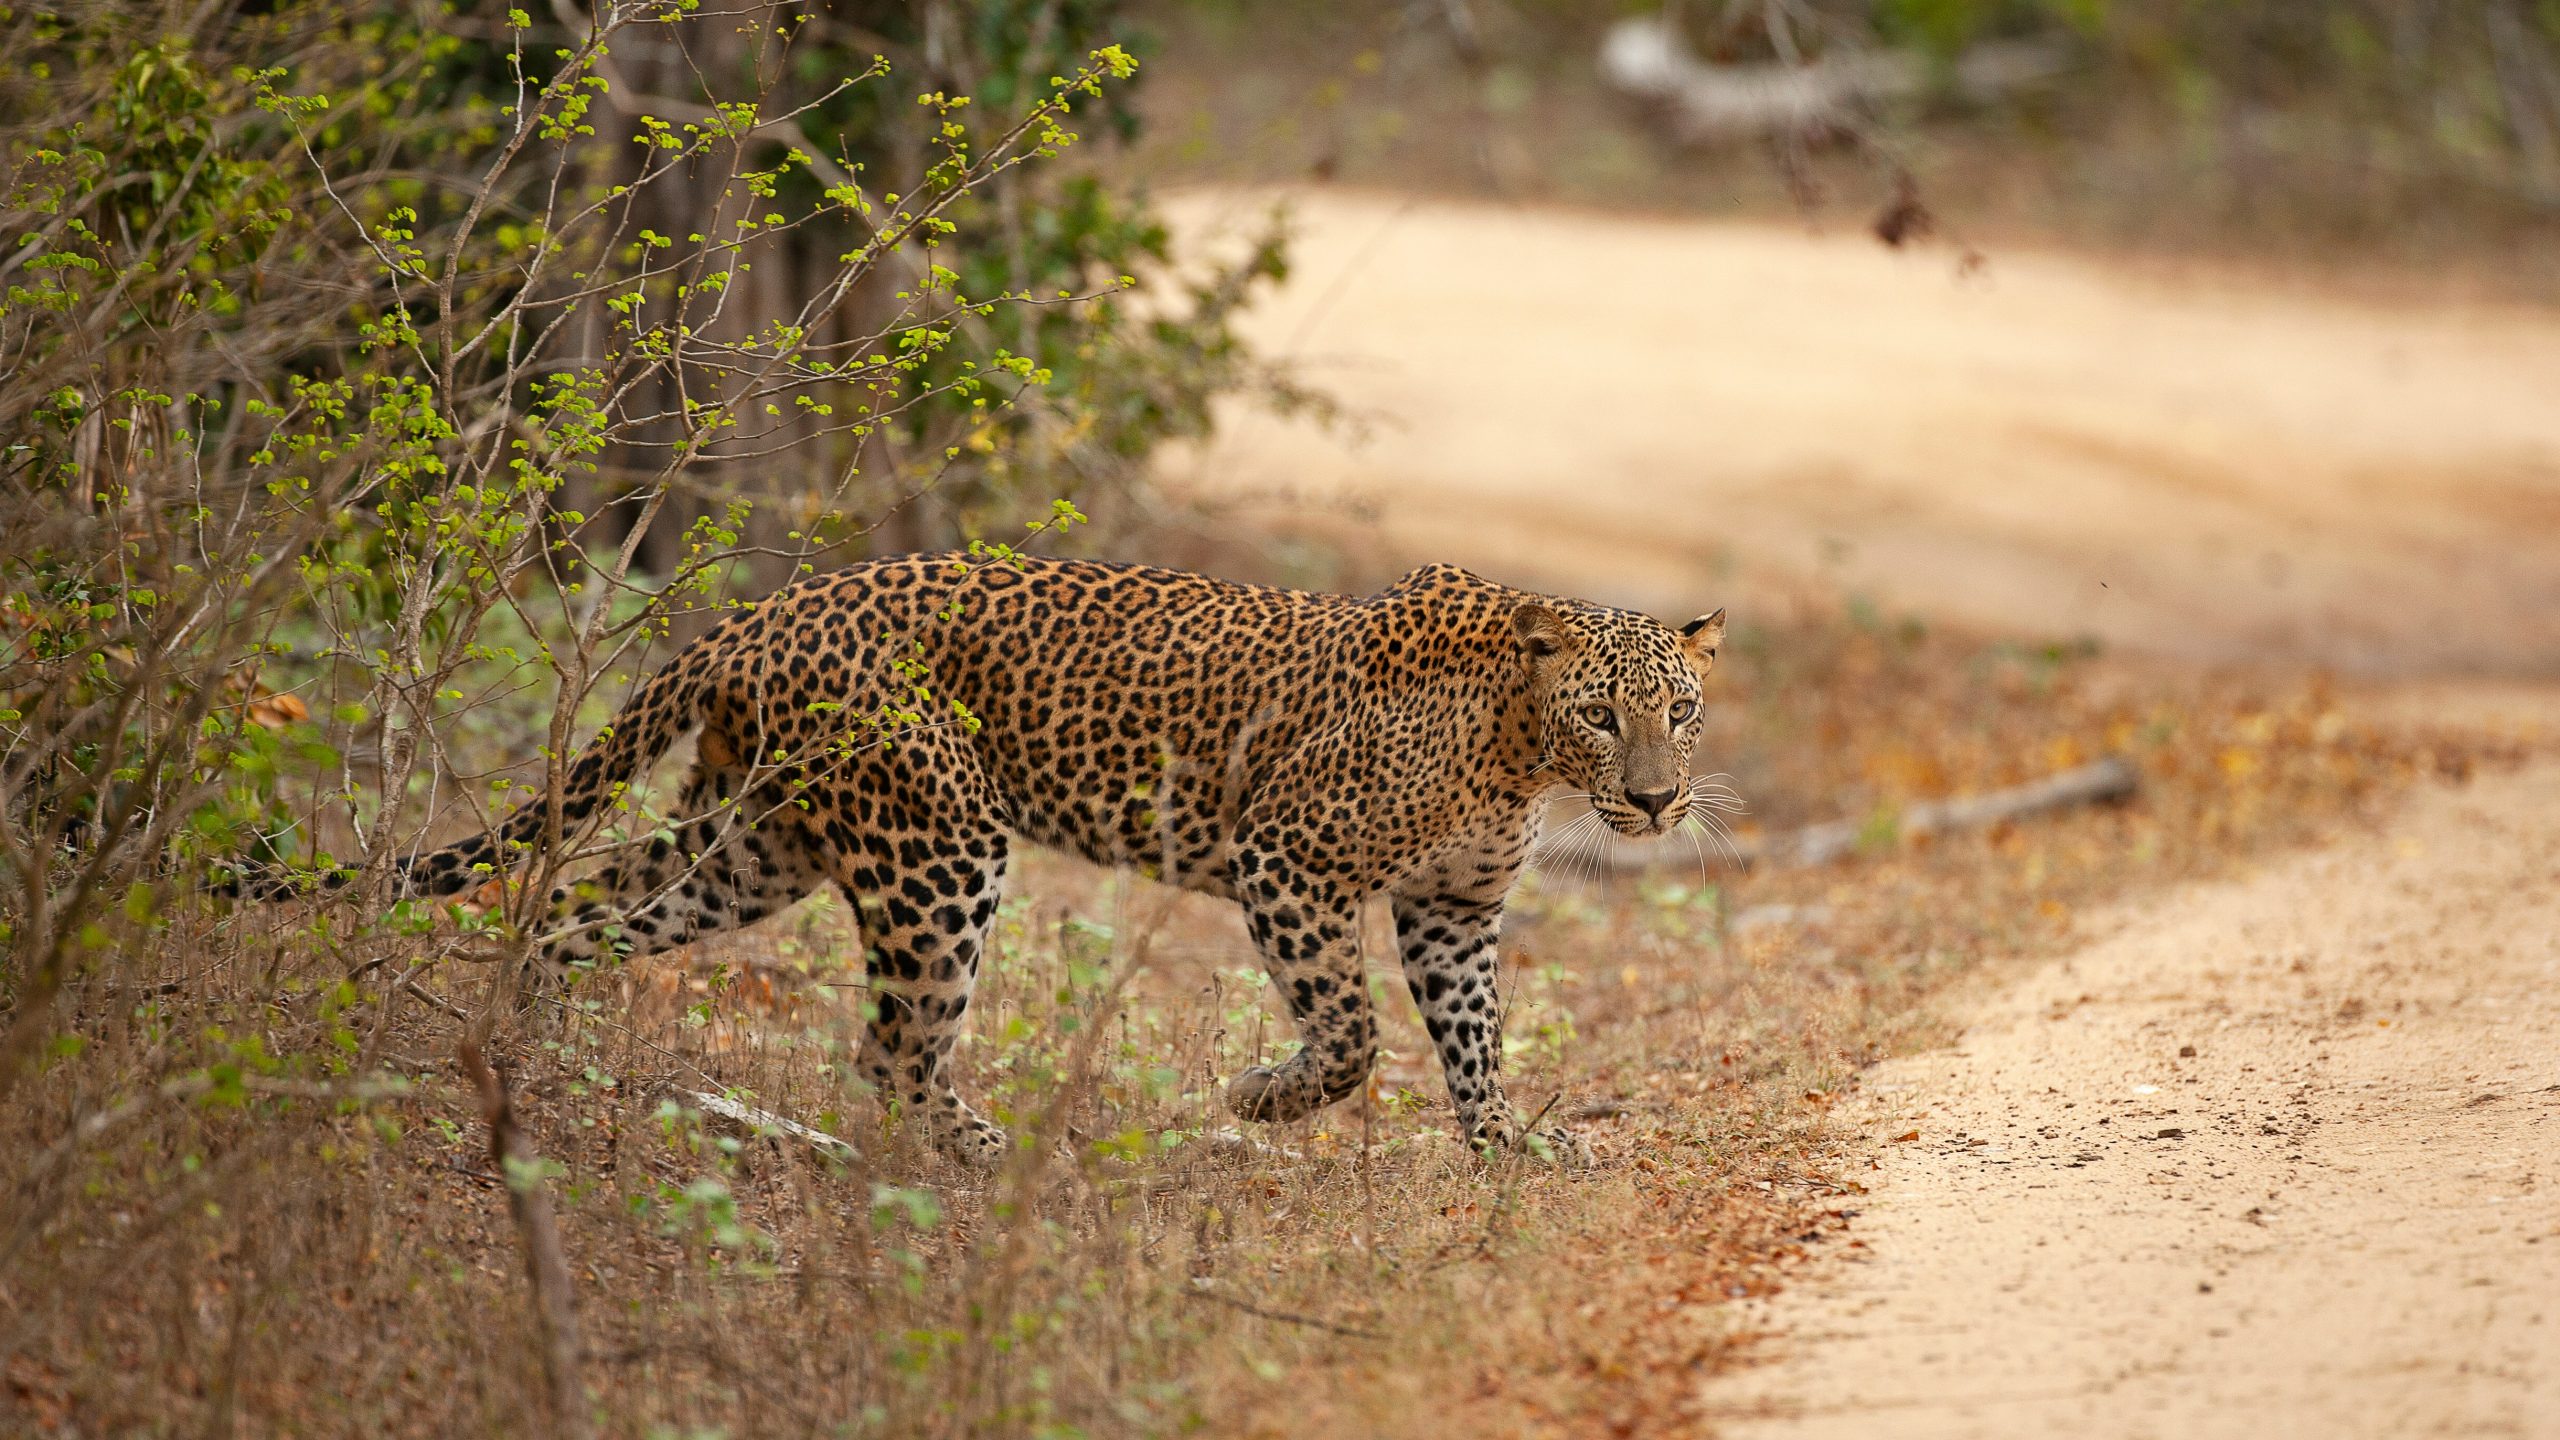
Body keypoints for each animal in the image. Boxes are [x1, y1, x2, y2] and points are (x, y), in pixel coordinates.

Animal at [378, 555, 1727, 1164]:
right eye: (1601, 714)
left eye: (1681, 710)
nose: (1657, 801)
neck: (1518, 750)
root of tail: (764, 612)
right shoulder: (1286, 860)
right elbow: (1351, 1036)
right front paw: (1260, 1099)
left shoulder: (1452, 907)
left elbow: (1474, 1034)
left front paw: (1509, 1147)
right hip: (938, 843)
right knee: (892, 1049)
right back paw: (1001, 1158)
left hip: (751, 844)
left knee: (569, 917)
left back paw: (528, 1062)